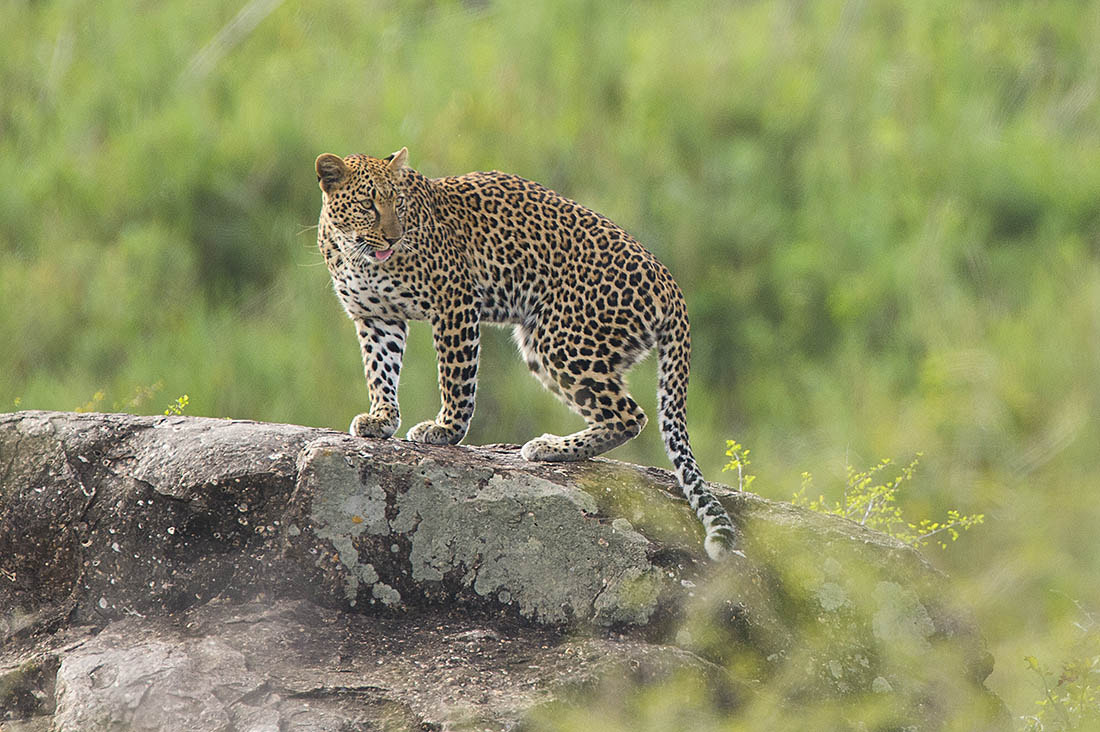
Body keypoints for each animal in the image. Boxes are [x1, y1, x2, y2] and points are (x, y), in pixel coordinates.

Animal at [312, 148, 739, 559]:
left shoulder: (455, 302)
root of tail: (670, 282)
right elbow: (380, 370)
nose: (393, 238)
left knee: (629, 416)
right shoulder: (377, 317)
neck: (356, 253)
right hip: (545, 343)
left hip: (562, 341)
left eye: (398, 203)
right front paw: (382, 419)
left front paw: (446, 430)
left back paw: (548, 449)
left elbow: (455, 376)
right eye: (368, 203)